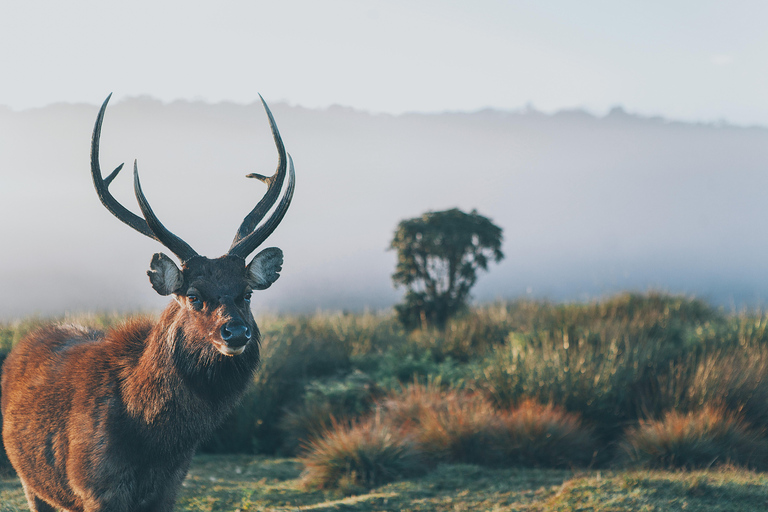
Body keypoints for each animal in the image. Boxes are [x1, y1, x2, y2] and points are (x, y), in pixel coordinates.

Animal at [0, 94, 294, 510]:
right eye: (193, 296)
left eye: (247, 293)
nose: (236, 332)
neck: (154, 443)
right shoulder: (94, 487)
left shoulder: (170, 487)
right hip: (31, 483)